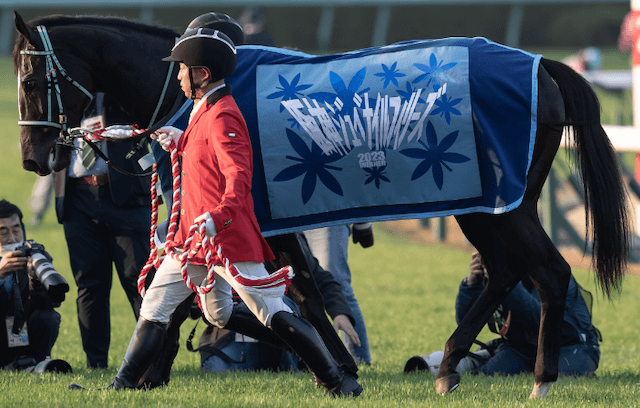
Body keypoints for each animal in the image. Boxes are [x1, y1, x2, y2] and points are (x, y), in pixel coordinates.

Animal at [13, 11, 632, 396]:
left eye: (31, 80)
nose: (33, 157)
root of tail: (541, 66)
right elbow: (260, 295)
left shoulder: (253, 220)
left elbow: (297, 294)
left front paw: (339, 368)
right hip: (488, 205)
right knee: (505, 271)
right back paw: (452, 363)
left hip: (498, 204)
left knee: (548, 273)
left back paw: (540, 377)